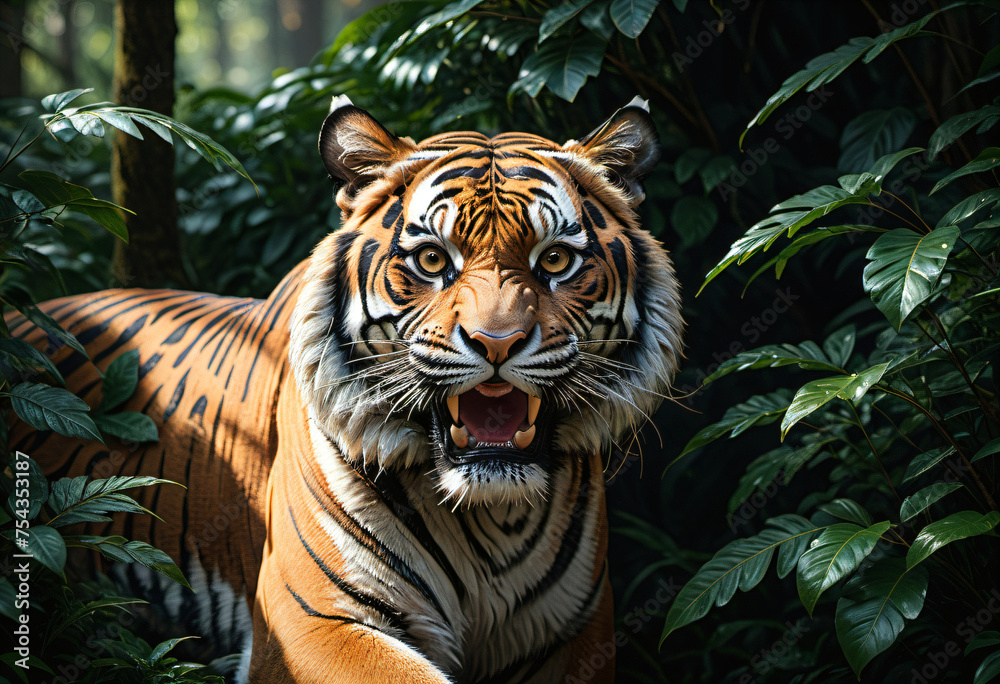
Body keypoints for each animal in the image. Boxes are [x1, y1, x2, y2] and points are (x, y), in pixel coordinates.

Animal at [8, 95, 683, 684]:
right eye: (433, 261)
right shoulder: (311, 623)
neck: (490, 515)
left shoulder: (576, 633)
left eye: (555, 261)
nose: (497, 343)